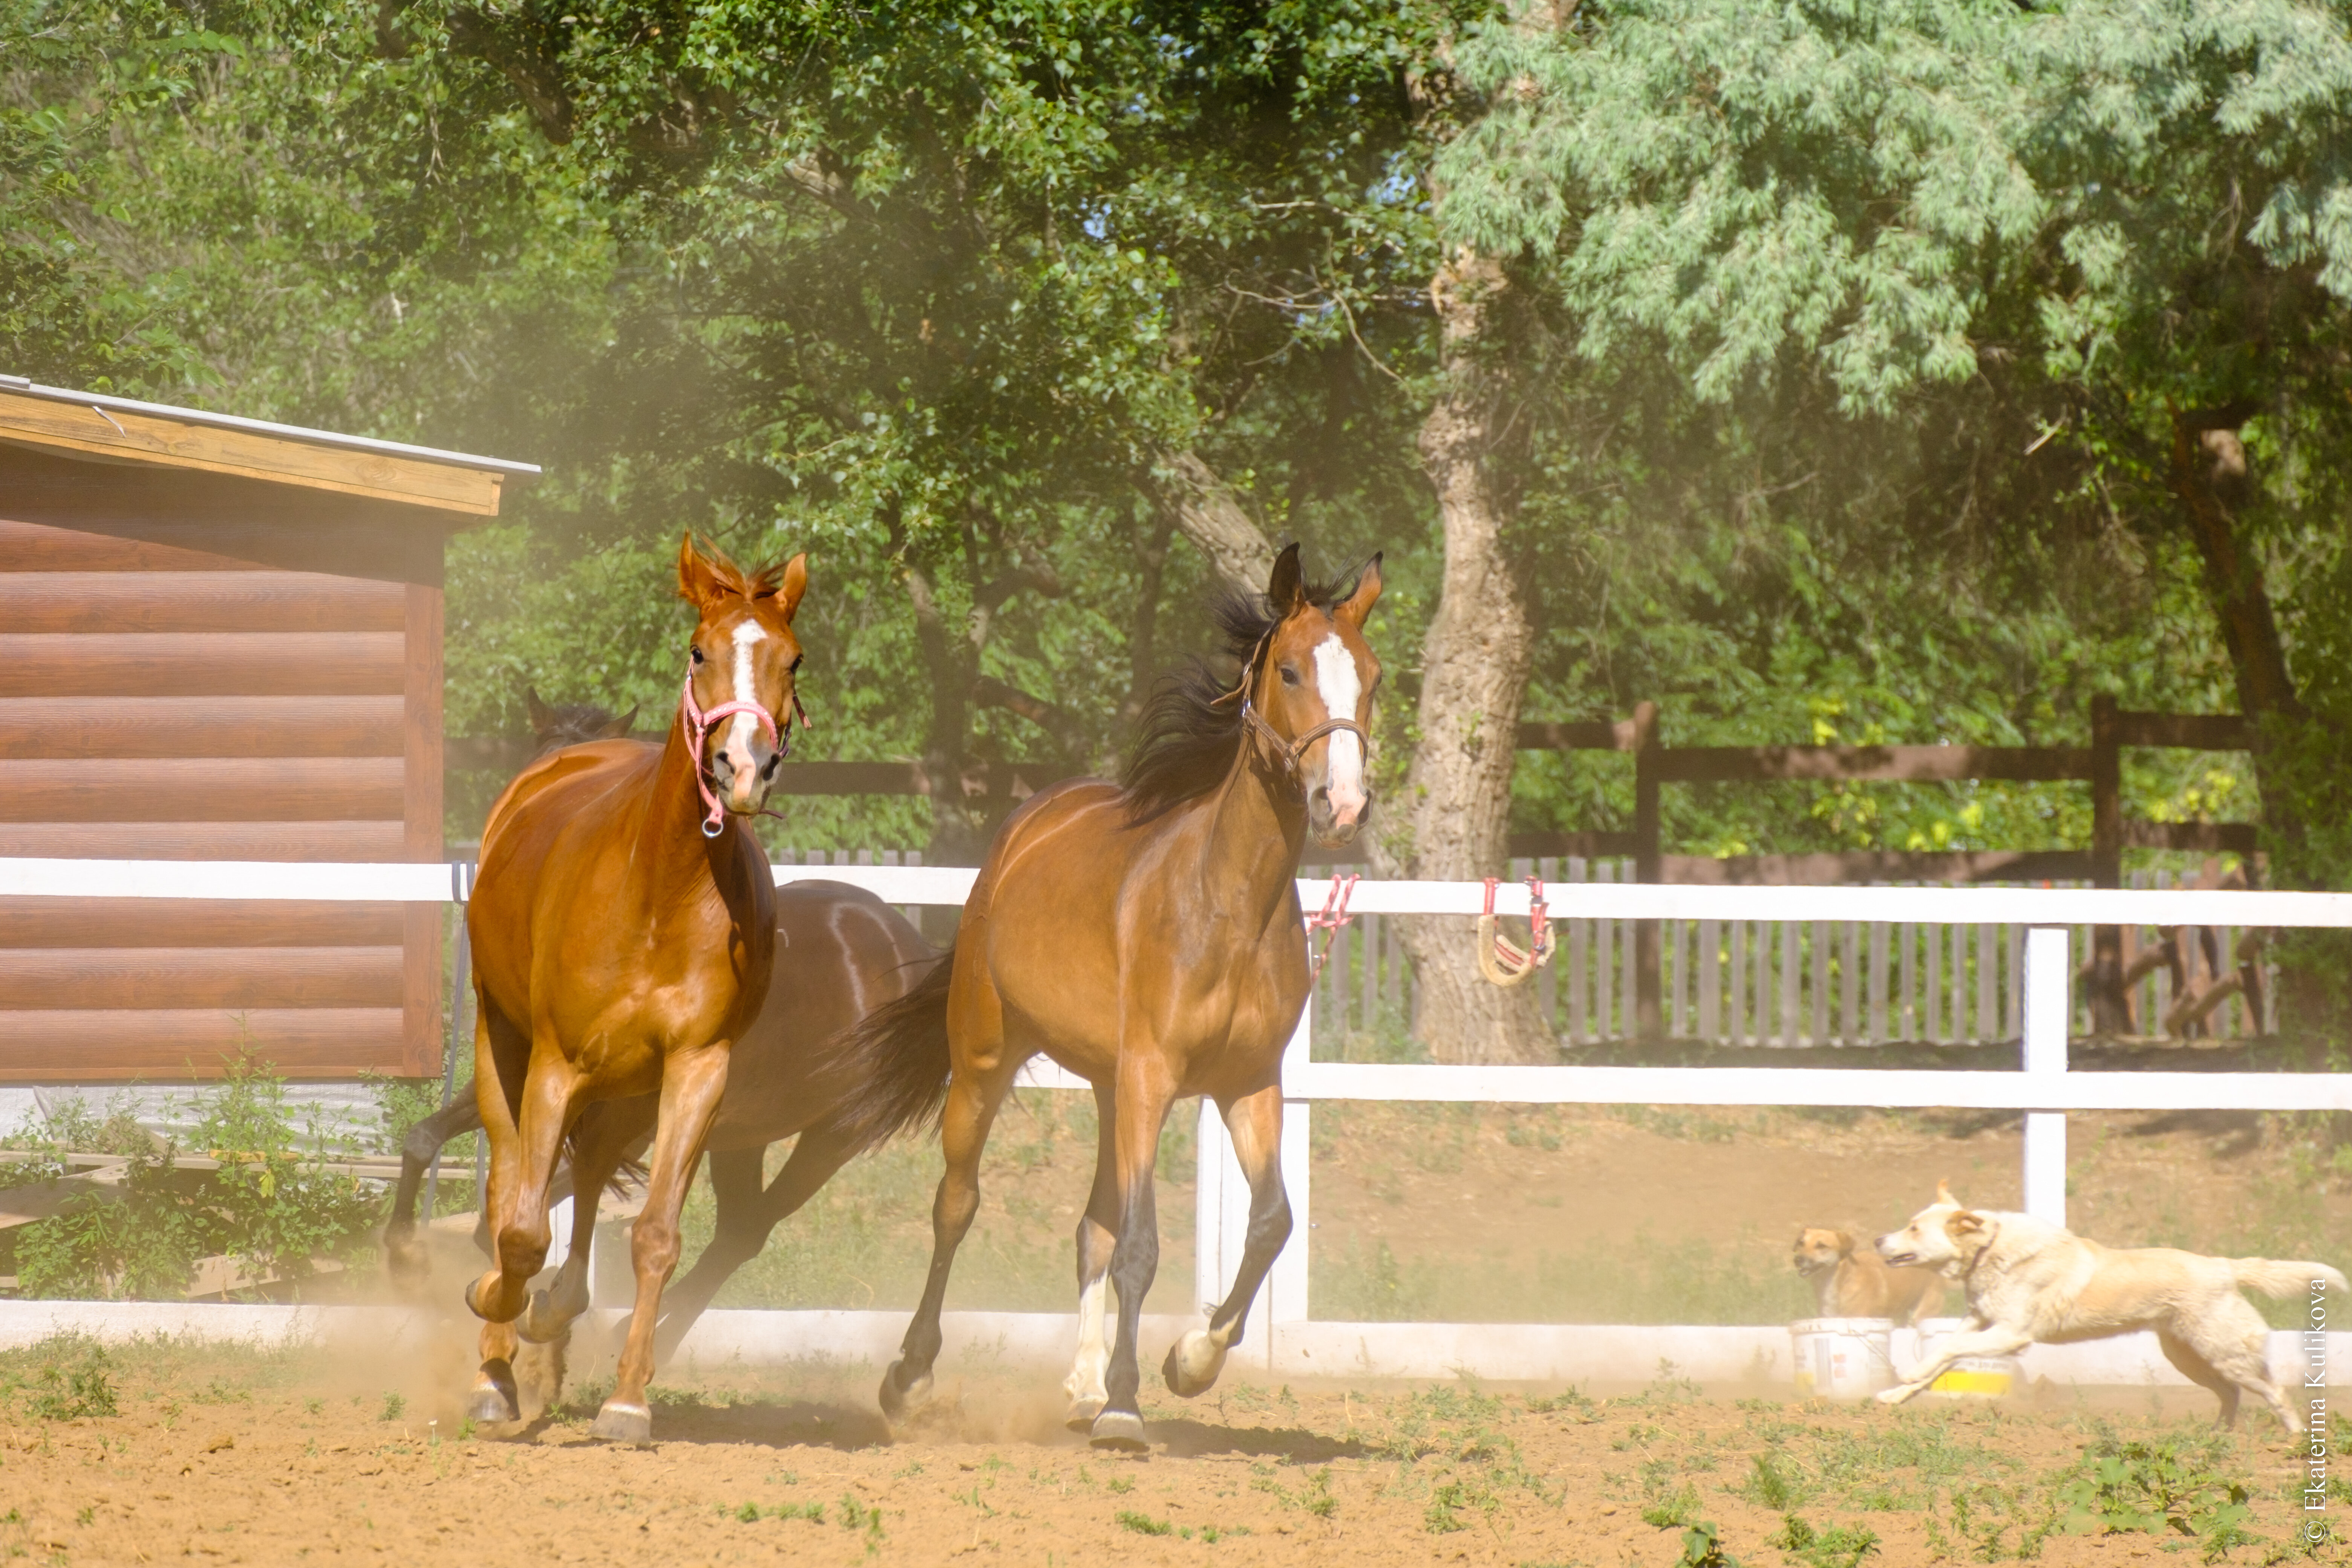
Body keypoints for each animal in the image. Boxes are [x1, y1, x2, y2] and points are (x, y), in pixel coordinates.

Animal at [461, 541, 818, 1448]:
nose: (743, 768)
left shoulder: (696, 1070)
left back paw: (555, 1316)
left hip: (627, 1087)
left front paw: (627, 1401)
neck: (659, 889)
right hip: (501, 1043)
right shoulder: (554, 1064)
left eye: (793, 659)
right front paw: (497, 1311)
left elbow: (655, 1234)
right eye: (699, 651)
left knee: (588, 1176)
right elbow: (521, 1229)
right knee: (507, 1187)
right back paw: (496, 1369)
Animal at [828, 545, 1374, 1457]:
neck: (1225, 903)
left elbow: (1269, 1223)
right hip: (988, 1062)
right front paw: (1126, 1405)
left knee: (1092, 1223)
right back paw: (911, 1378)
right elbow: (1144, 1247)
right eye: (1291, 670)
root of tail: (1023, 830)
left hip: (1111, 1089)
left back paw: (1079, 1385)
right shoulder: (1155, 1079)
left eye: (1371, 676)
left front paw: (1190, 1361)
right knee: (957, 1206)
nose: (1345, 805)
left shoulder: (1247, 1085)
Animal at [1863, 1189, 2343, 1438]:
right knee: (2232, 1393)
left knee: (2274, 1390)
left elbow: (1948, 1351)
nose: (1877, 1239)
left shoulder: (2012, 1334)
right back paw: (2216, 1435)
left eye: (1914, 1228)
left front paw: (1907, 1377)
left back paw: (2296, 1438)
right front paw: (1896, 1395)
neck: (1990, 1249)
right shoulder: (1981, 1322)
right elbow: (1945, 1353)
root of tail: (2224, 1265)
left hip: (2223, 1351)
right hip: (2187, 1356)